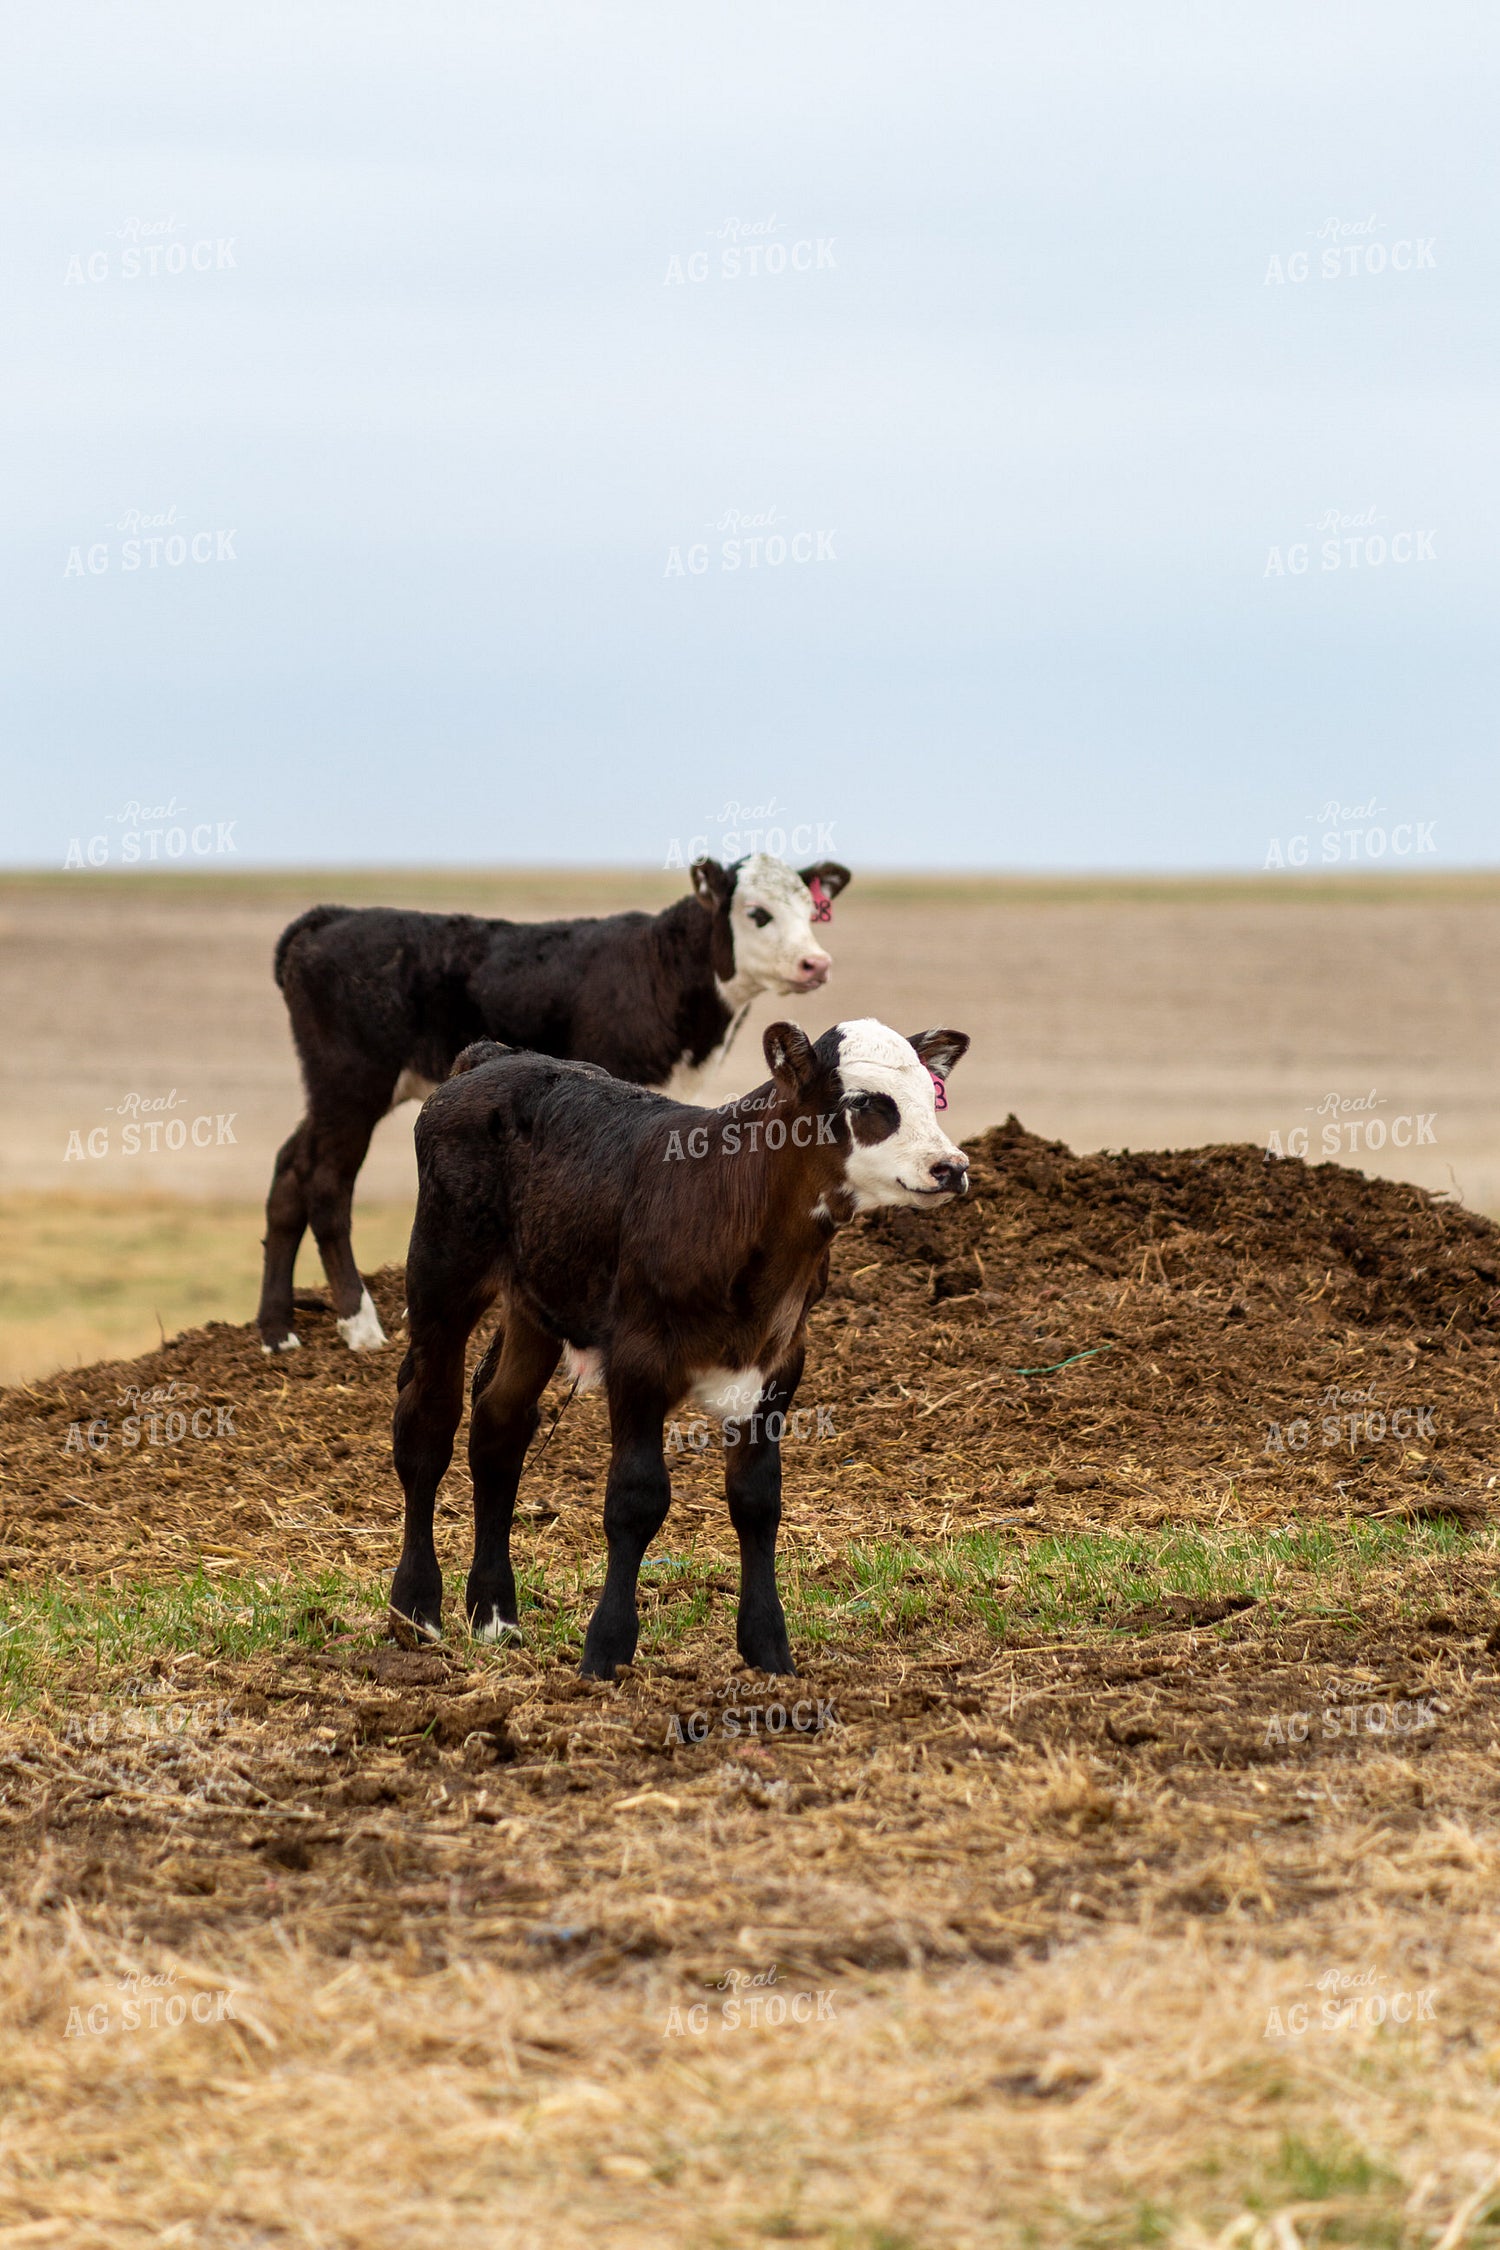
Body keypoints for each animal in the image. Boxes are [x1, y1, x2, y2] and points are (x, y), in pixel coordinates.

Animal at [256, 852, 851, 1356]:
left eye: (811, 910)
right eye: (757, 913)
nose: (815, 963)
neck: (658, 969)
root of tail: (331, 917)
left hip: (332, 1091)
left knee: (289, 1168)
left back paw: (276, 1331)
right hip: (350, 1086)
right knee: (326, 1181)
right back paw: (359, 1324)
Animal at [387, 1016, 970, 1677]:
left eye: (931, 1096)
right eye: (867, 1103)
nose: (951, 1166)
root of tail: (494, 1056)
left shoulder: (779, 1364)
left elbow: (757, 1501)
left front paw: (769, 1649)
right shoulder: (638, 1361)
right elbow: (637, 1498)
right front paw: (606, 1650)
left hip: (534, 1302)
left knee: (498, 1424)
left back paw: (494, 1614)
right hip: (440, 1274)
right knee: (427, 1423)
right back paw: (416, 1609)